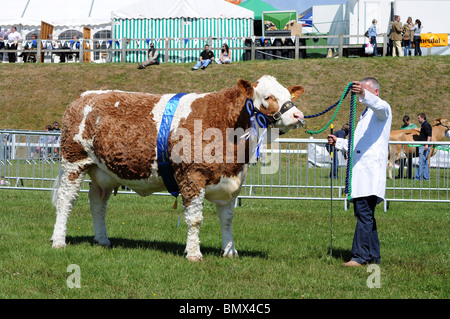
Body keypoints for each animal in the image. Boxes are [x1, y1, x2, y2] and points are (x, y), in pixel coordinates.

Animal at [51, 75, 306, 262]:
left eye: (287, 94)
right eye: (268, 96)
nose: (298, 115)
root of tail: (85, 96)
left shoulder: (229, 181)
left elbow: (227, 219)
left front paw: (230, 251)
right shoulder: (192, 176)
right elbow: (194, 219)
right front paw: (193, 254)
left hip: (102, 171)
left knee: (97, 202)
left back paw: (102, 239)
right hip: (74, 161)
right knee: (66, 200)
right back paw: (58, 241)